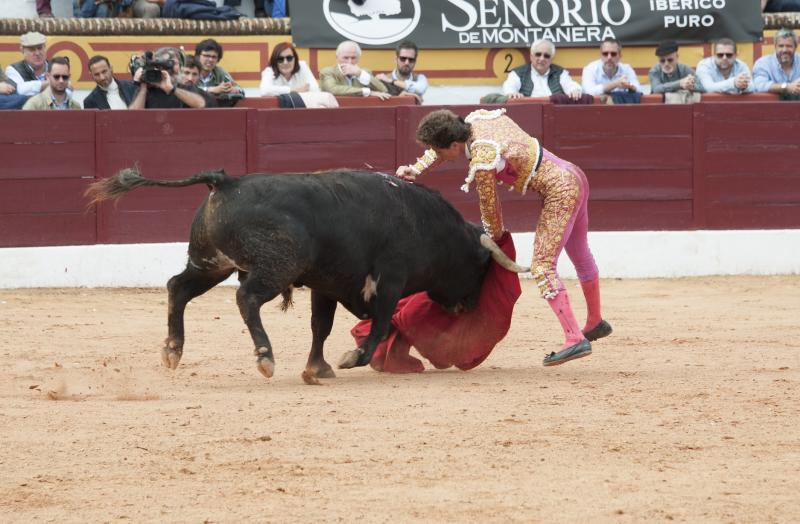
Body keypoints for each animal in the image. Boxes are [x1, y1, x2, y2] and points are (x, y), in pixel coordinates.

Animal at [84, 168, 528, 380]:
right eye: (480, 268)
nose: (467, 306)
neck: (426, 225)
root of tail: (225, 181)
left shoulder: (326, 284)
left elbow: (321, 326)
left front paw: (318, 368)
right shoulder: (390, 280)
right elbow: (382, 323)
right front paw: (354, 358)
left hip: (212, 263)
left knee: (177, 287)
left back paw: (173, 350)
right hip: (274, 268)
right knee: (246, 298)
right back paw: (265, 356)